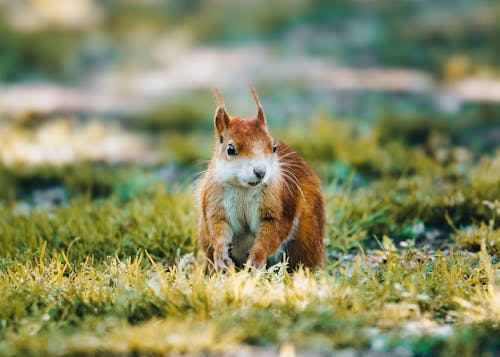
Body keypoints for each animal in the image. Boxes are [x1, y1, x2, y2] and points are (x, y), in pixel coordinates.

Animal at [195, 87, 324, 270]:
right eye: (230, 149)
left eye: (274, 146)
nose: (261, 171)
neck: (244, 188)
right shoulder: (215, 198)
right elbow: (217, 224)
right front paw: (221, 252)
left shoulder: (279, 202)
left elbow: (274, 230)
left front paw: (256, 257)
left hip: (306, 237)